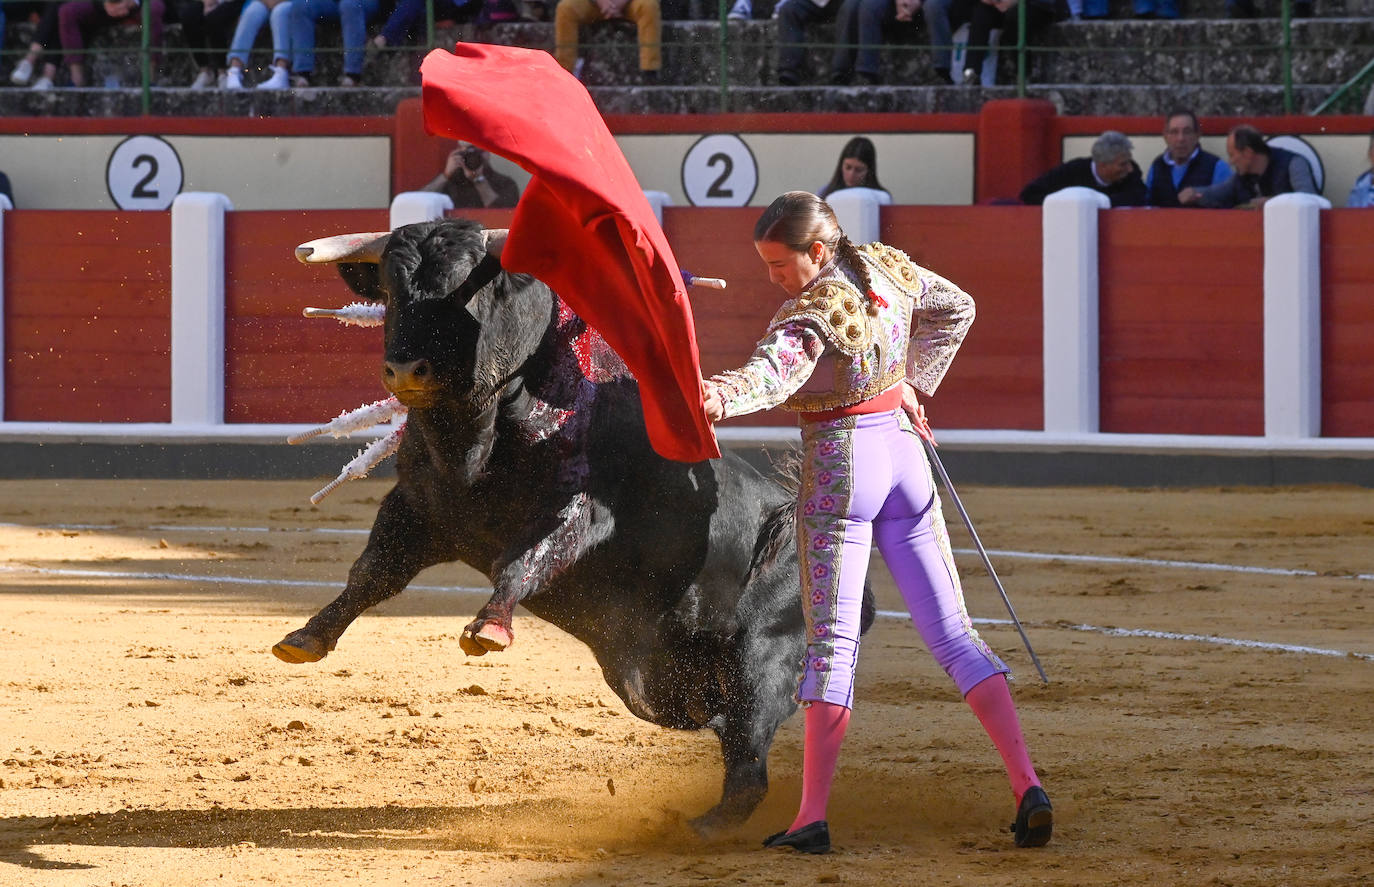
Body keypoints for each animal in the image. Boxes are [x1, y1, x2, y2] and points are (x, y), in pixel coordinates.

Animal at [273, 218, 873, 840]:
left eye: (468, 291)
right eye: (390, 291)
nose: (406, 370)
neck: (476, 436)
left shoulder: (582, 513)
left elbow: (523, 561)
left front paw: (490, 627)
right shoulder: (418, 510)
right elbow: (371, 574)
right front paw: (307, 637)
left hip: (764, 663)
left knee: (748, 760)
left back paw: (701, 831)